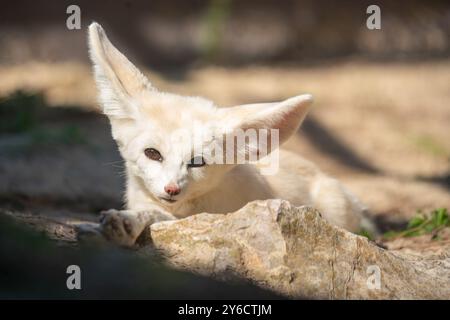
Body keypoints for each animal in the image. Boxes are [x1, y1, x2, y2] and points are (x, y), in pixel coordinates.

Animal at [88, 22, 376, 246]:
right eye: (153, 154)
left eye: (197, 162)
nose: (171, 189)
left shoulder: (212, 216)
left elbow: (159, 219)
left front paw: (127, 223)